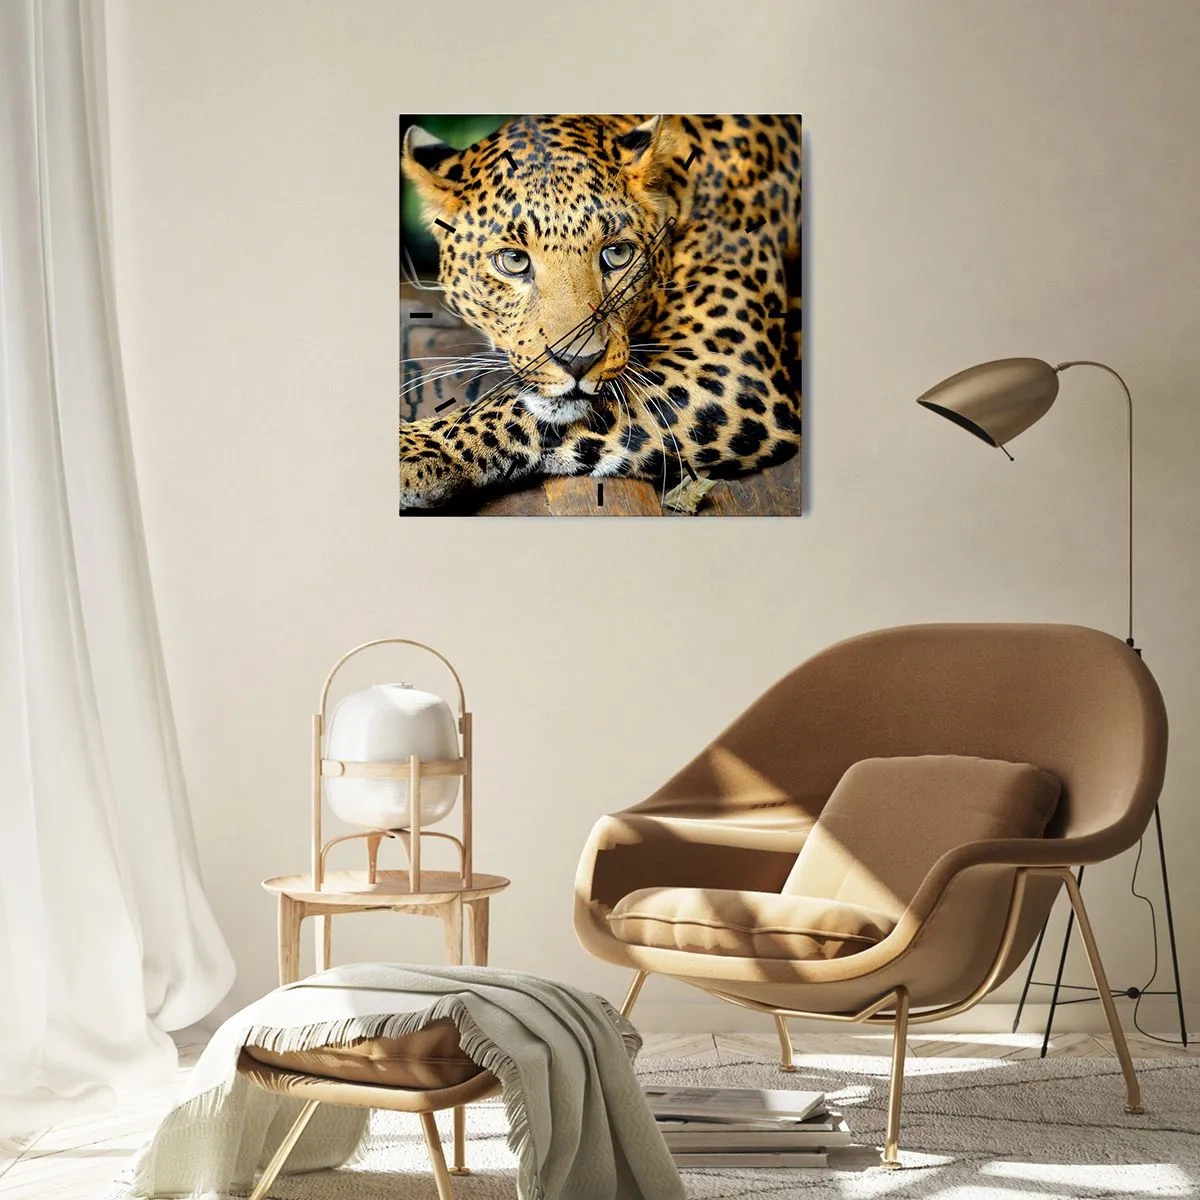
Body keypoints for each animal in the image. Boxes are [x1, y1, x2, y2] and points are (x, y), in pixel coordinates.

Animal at [399, 113, 802, 511]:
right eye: (513, 260)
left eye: (618, 254)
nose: (577, 362)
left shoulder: (730, 373)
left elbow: (513, 408)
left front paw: (414, 449)